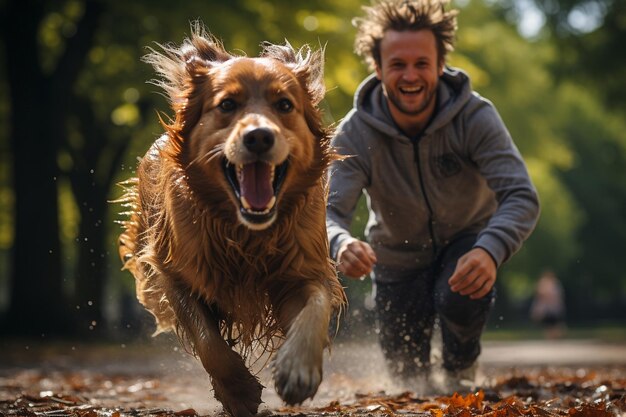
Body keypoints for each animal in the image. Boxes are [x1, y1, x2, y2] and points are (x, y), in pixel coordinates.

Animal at [114, 25, 344, 416]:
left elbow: (314, 309)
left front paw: (297, 368)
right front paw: (239, 392)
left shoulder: (303, 269)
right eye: (227, 105)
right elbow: (209, 343)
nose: (259, 137)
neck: (245, 232)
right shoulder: (177, 274)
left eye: (285, 105)